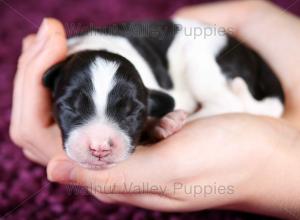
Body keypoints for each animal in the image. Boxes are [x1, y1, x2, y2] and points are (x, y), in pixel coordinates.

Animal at [43, 18, 284, 169]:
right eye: (69, 107)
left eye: (132, 113)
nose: (99, 147)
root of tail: (252, 57)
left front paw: (161, 124)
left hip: (202, 64)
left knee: (229, 102)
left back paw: (172, 121)